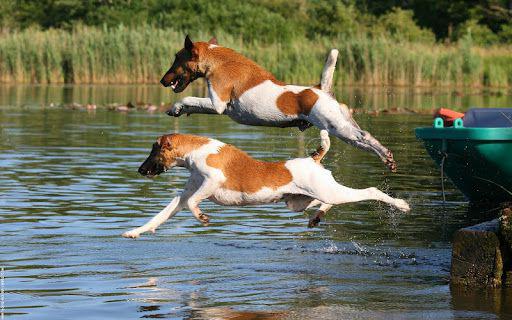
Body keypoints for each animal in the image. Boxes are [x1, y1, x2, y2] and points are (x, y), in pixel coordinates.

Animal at [122, 129, 410, 238]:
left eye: (154, 151)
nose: (140, 170)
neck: (197, 150)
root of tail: (313, 158)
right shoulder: (182, 197)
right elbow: (162, 215)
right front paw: (136, 231)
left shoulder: (212, 182)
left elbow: (194, 203)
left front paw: (202, 218)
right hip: (298, 202)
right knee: (324, 204)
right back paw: (316, 218)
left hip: (329, 192)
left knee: (370, 191)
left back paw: (401, 205)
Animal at [160, 36, 396, 172]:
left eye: (176, 59)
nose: (162, 80)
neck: (218, 61)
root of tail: (321, 89)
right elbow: (192, 104)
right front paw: (179, 111)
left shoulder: (217, 104)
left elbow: (188, 99)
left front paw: (176, 107)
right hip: (344, 127)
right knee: (364, 140)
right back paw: (387, 159)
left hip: (338, 127)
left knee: (365, 137)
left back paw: (385, 154)